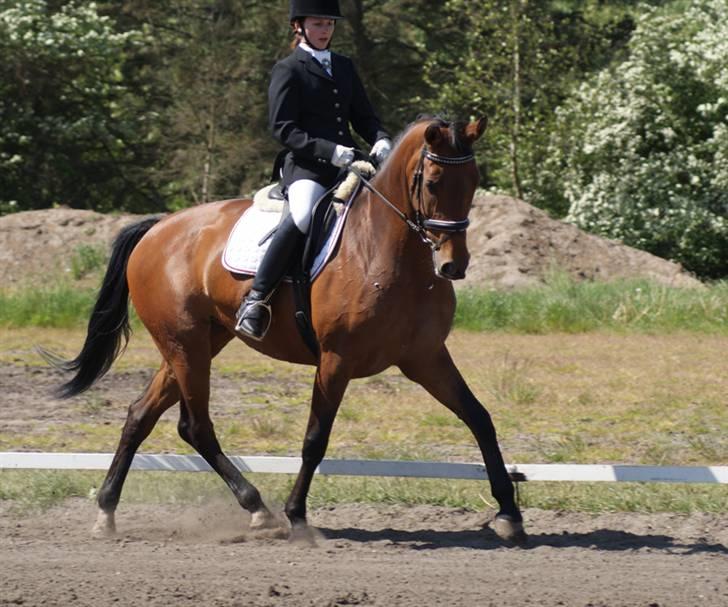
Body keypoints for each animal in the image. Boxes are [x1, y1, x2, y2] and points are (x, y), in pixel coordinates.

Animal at [49, 116, 526, 545]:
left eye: (474, 182)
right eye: (433, 183)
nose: (453, 265)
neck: (390, 254)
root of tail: (159, 228)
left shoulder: (425, 357)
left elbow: (479, 418)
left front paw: (509, 514)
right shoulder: (336, 360)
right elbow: (315, 438)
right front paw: (297, 516)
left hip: (196, 343)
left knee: (141, 415)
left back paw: (107, 513)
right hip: (184, 344)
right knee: (195, 425)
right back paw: (260, 510)